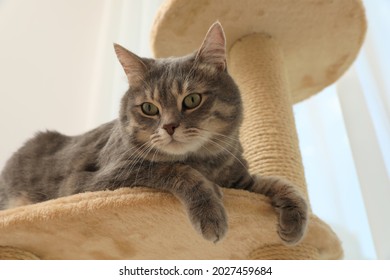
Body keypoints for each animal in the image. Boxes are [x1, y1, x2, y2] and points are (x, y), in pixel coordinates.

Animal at [0, 23, 308, 244]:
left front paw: (295, 219)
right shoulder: (92, 182)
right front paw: (211, 210)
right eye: (149, 108)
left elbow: (280, 183)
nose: (169, 126)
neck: (206, 162)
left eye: (192, 100)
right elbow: (174, 170)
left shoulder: (240, 180)